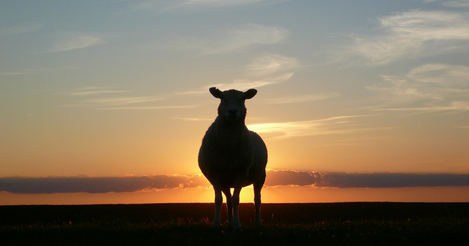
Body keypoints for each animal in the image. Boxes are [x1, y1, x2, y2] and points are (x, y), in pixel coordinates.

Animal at [197, 86, 266, 229]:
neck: (229, 144)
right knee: (228, 200)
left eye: (242, 99)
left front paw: (236, 224)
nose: (233, 111)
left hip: (260, 177)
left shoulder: (241, 172)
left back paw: (257, 222)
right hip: (226, 181)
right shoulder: (215, 174)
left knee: (257, 200)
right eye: (223, 98)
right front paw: (216, 224)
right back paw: (228, 222)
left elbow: (236, 200)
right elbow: (218, 200)